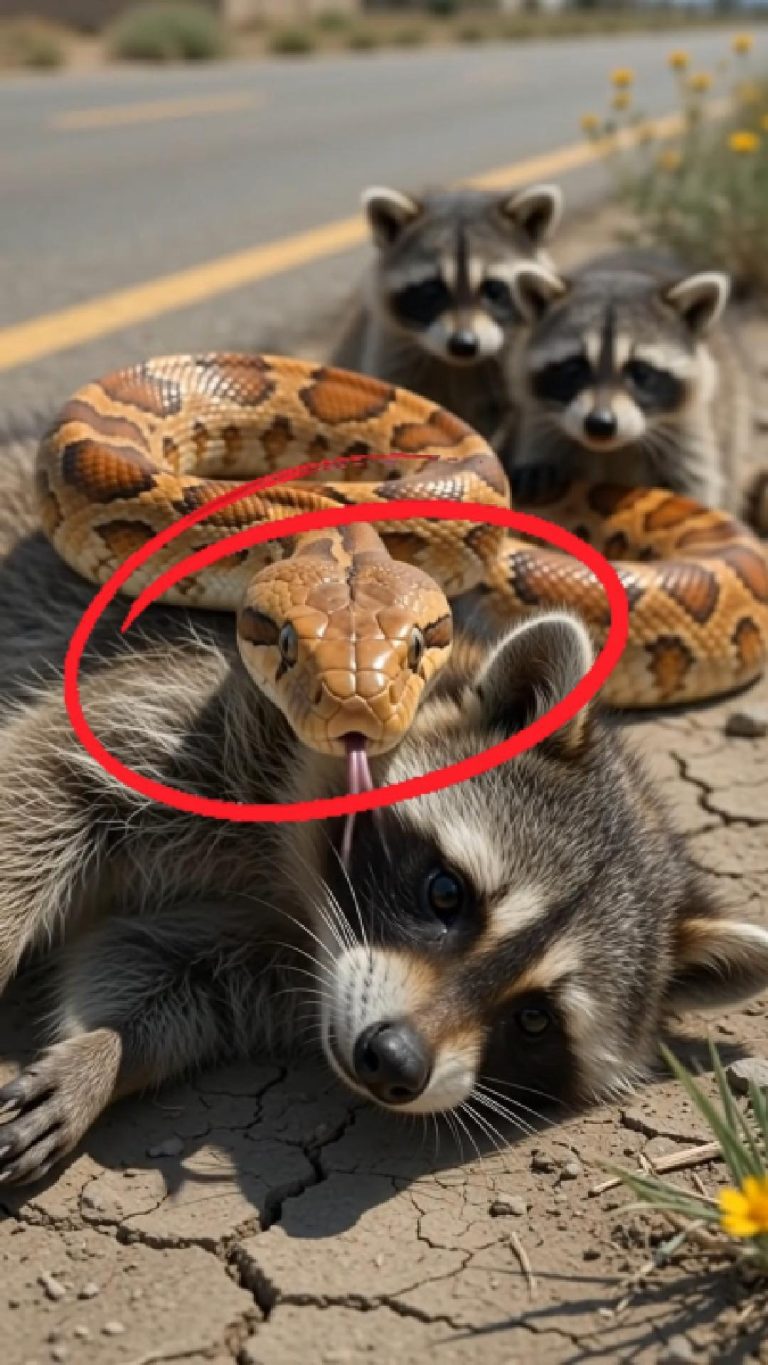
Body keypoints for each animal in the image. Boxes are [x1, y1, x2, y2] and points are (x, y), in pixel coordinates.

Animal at [1, 450, 767, 1186]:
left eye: (534, 1019)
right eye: (445, 892)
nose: (393, 1060)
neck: (294, 878)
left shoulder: (264, 953)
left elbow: (145, 966)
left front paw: (104, 1053)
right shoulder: (187, 704)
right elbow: (40, 785)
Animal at [503, 249, 751, 512]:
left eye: (640, 372)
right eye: (574, 369)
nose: (600, 424)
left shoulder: (688, 427)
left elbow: (695, 484)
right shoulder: (539, 421)